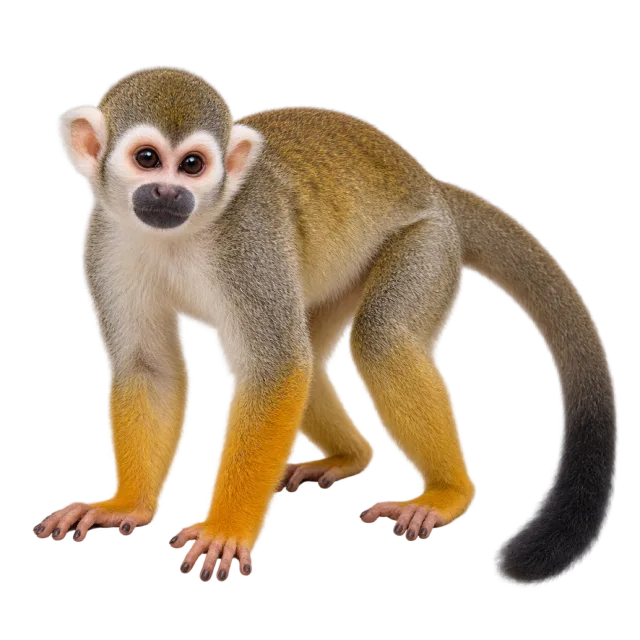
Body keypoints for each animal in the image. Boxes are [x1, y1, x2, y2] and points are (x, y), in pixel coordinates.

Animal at [40, 64, 617, 588]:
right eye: (147, 160)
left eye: (192, 165)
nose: (167, 194)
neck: (185, 231)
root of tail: (432, 186)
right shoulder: (107, 240)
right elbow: (150, 367)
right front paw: (126, 506)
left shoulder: (249, 238)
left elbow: (274, 369)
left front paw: (225, 530)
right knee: (312, 356)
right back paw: (349, 456)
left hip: (428, 241)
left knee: (380, 337)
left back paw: (448, 494)